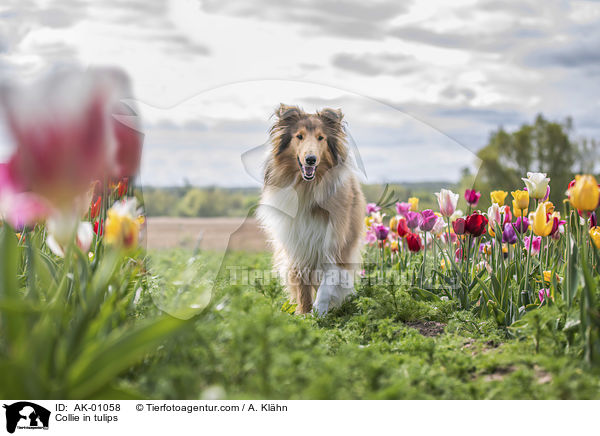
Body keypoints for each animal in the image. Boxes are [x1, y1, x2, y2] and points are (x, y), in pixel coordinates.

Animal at [255, 104, 364, 316]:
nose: (311, 160)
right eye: (299, 136)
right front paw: (305, 315)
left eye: (321, 138)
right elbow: (302, 286)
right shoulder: (298, 245)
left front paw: (319, 313)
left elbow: (327, 284)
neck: (307, 189)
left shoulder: (334, 244)